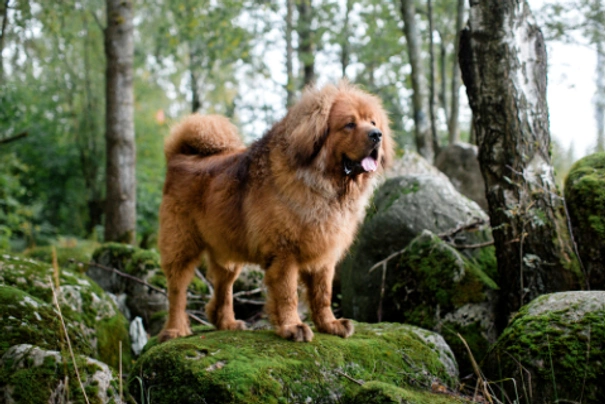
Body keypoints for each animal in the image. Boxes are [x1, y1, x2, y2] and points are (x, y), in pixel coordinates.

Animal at [157, 83, 392, 342]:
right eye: (349, 124)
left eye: (372, 122)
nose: (377, 135)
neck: (324, 186)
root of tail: (179, 157)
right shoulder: (283, 252)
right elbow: (288, 293)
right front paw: (292, 326)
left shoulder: (324, 254)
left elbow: (322, 294)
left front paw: (329, 324)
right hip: (181, 246)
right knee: (177, 291)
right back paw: (175, 330)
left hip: (227, 251)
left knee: (223, 288)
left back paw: (226, 322)